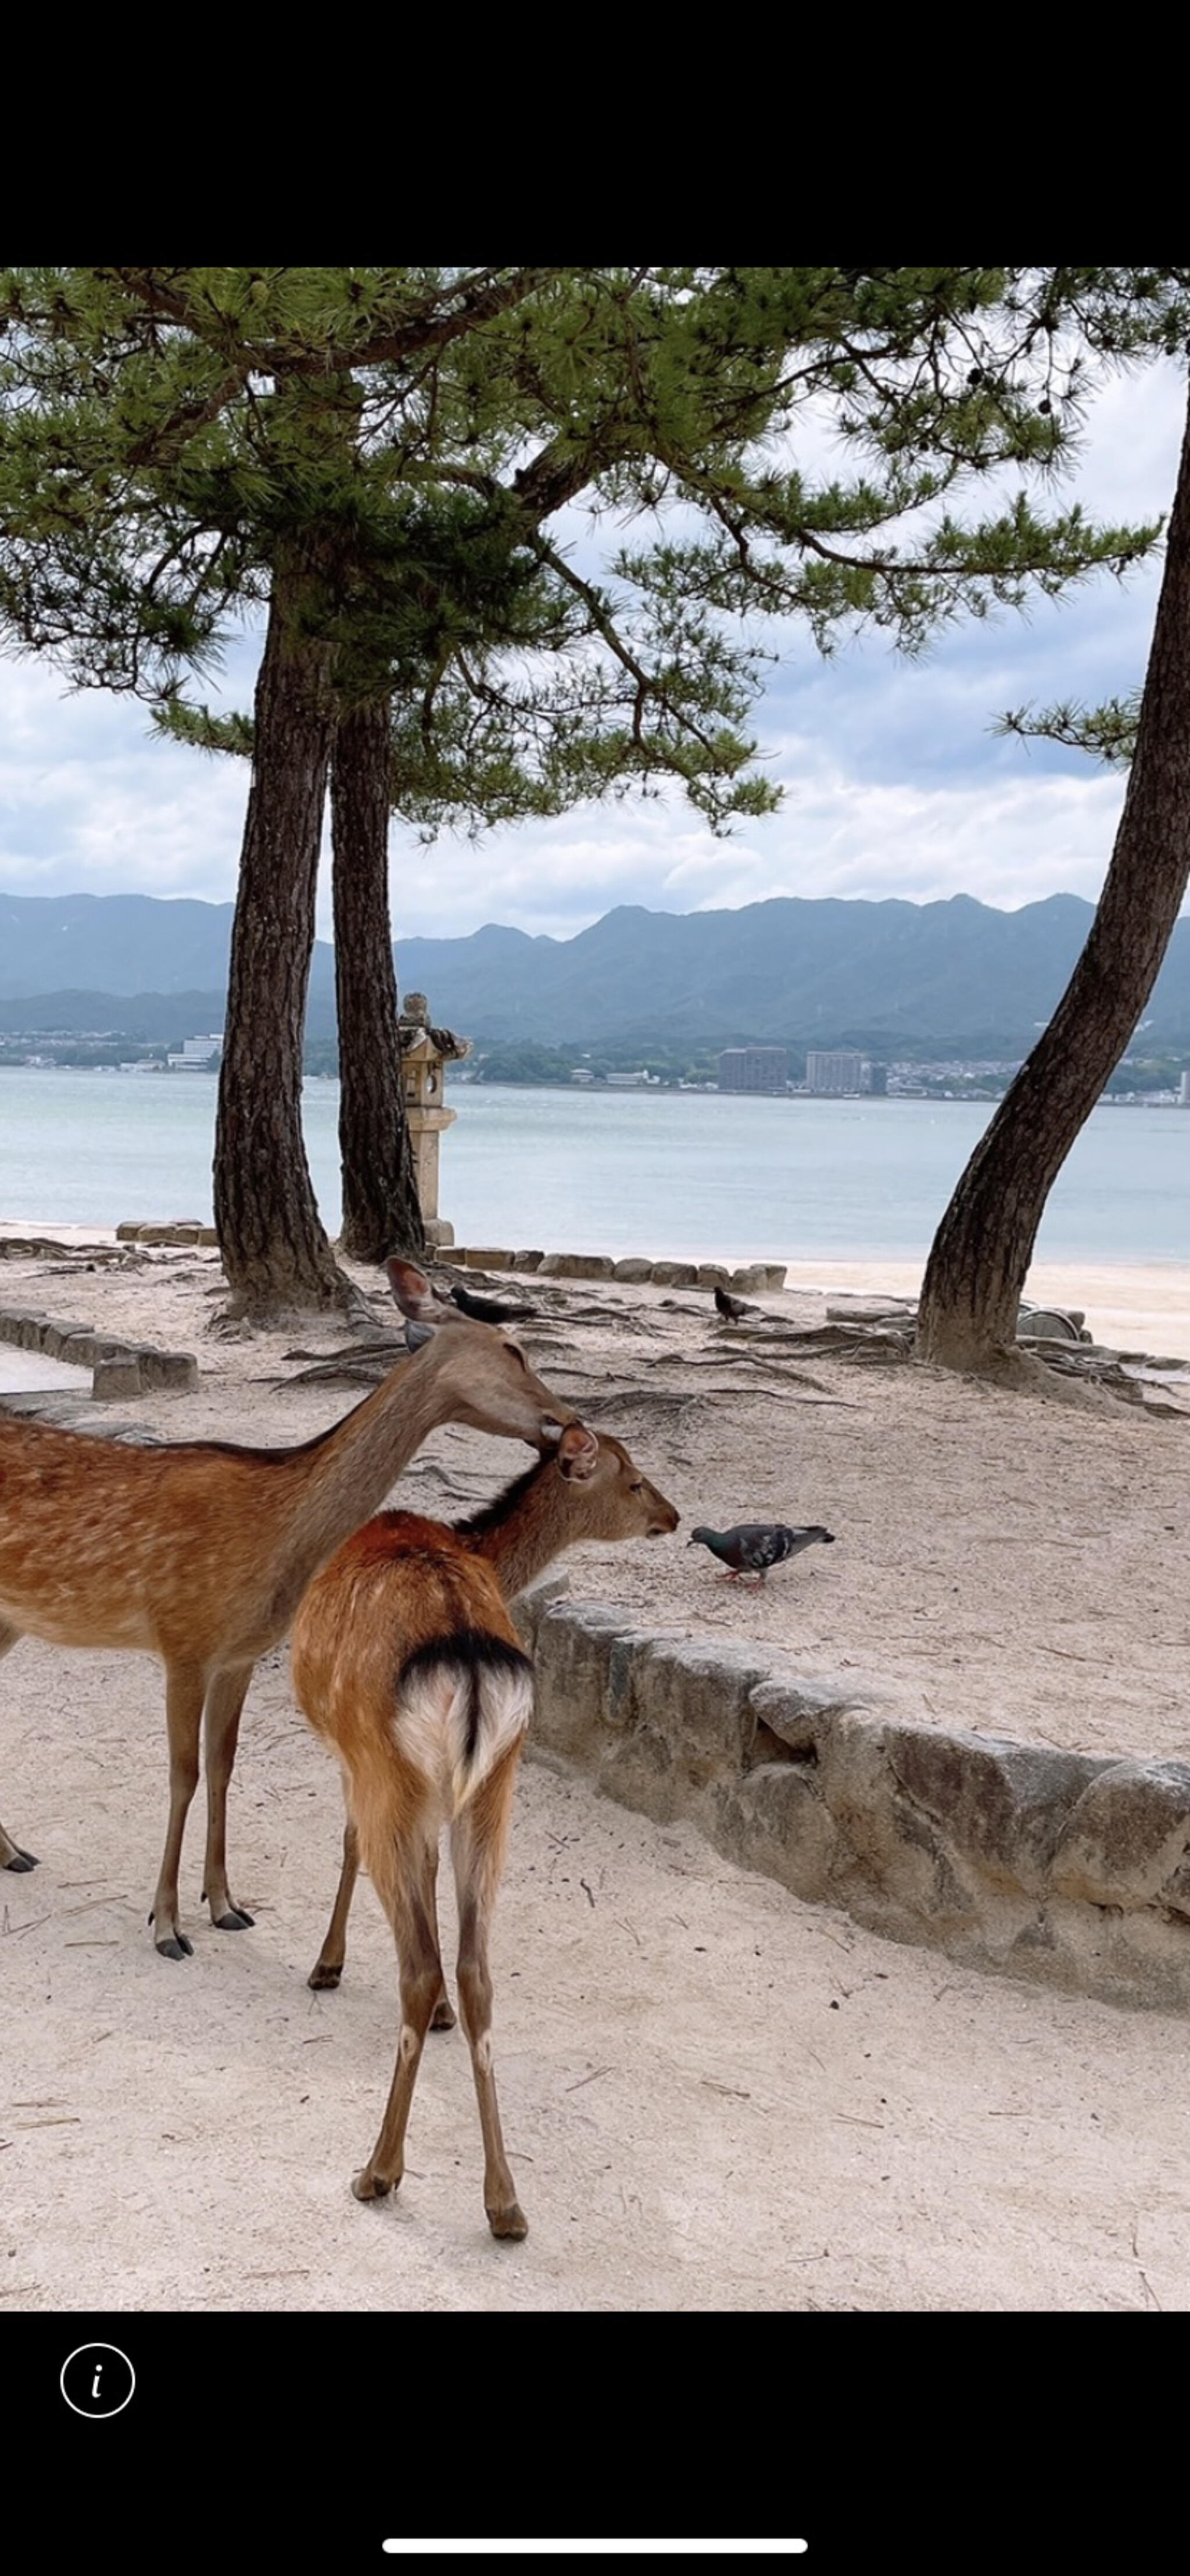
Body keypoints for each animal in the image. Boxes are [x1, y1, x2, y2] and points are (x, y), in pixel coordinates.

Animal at [0, 1257, 590, 1958]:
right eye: (512, 1349)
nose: (570, 1422)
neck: (275, 1535)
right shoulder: (184, 1637)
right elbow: (183, 1774)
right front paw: (167, 1925)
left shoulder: (240, 1654)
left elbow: (223, 1766)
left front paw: (225, 1905)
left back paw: (13, 1852)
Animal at [291, 1411, 680, 2235]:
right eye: (633, 1480)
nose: (673, 1515)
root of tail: (466, 1659)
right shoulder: (446, 1795)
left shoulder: (356, 1765)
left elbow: (347, 1845)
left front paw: (326, 1963)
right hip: (497, 1789)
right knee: (478, 1971)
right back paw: (505, 2202)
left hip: (390, 1770)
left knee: (416, 1966)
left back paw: (378, 2170)